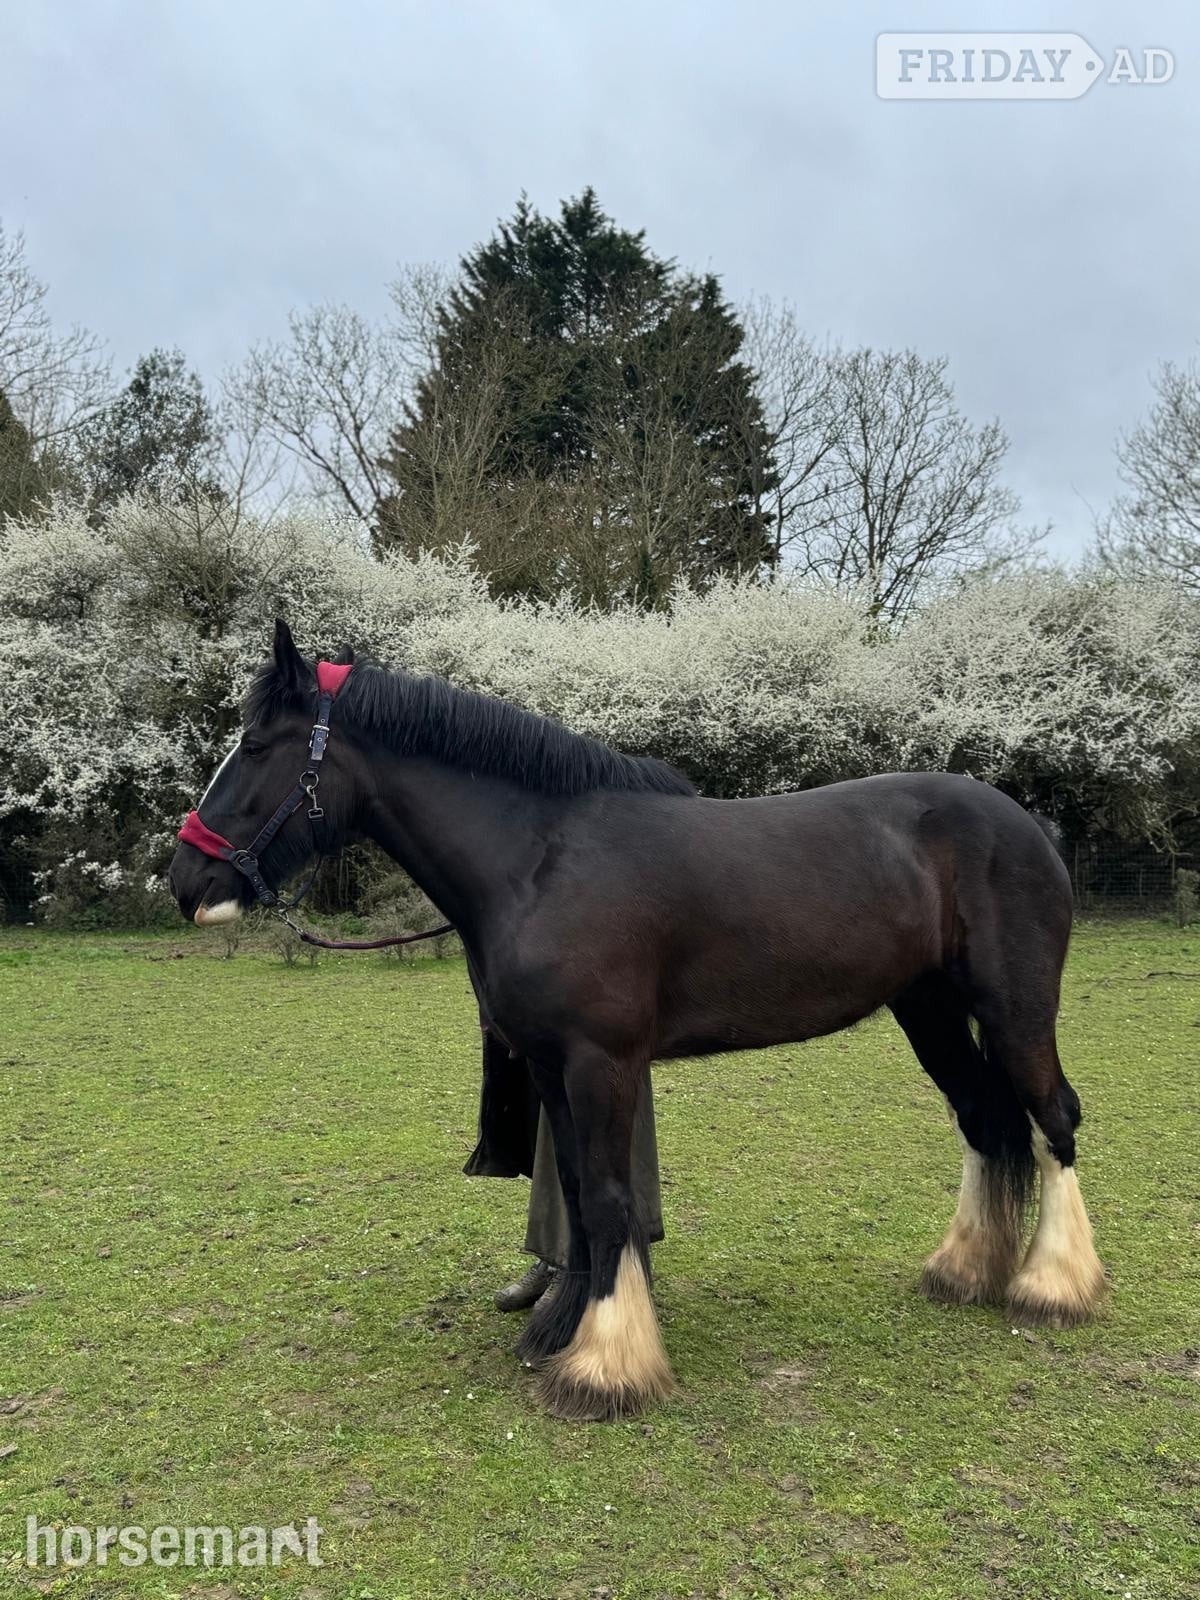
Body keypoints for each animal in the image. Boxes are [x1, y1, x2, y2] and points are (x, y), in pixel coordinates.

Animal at [167, 621, 1107, 1421]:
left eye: (256, 747)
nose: (185, 881)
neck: (540, 860)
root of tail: (1024, 823)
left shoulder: (602, 1062)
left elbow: (613, 1199)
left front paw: (605, 1365)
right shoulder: (551, 1067)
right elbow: (580, 1195)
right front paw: (561, 1327)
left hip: (1015, 1010)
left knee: (1052, 1117)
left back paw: (1053, 1286)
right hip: (930, 1012)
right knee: (987, 1122)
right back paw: (965, 1270)